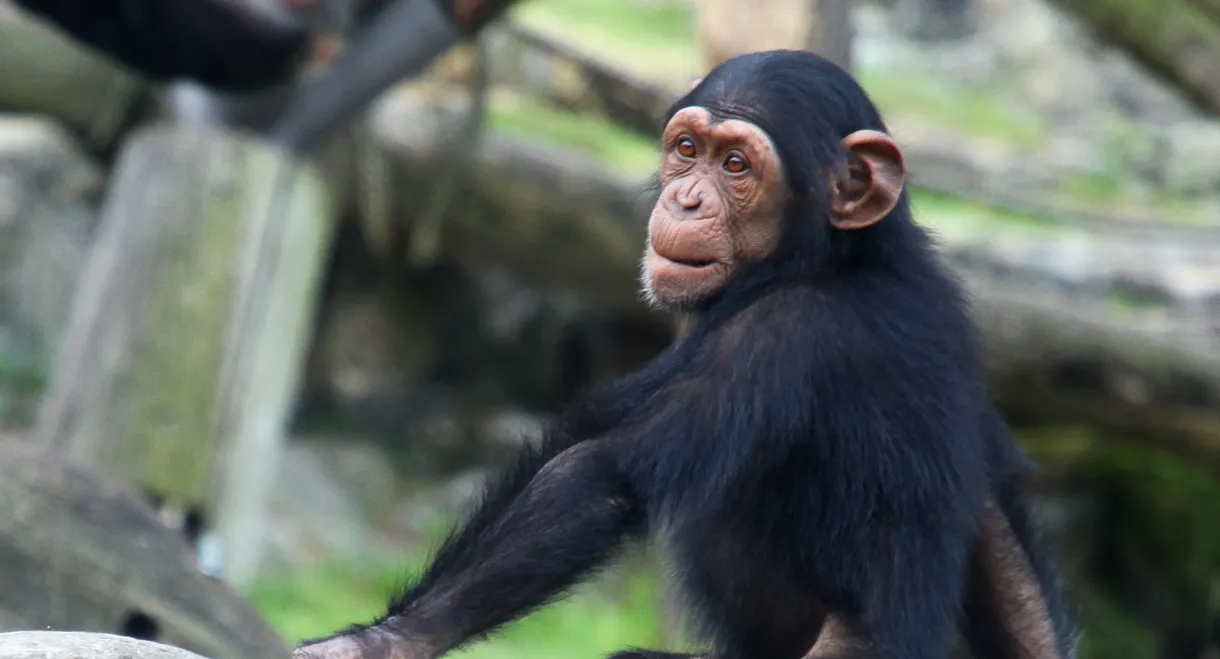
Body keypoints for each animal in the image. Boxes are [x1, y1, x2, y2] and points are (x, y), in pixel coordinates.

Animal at [295, 51, 1078, 659]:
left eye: (736, 164)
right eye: (686, 151)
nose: (688, 199)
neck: (827, 259)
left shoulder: (775, 337)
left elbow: (601, 473)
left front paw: (383, 642)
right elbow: (997, 539)